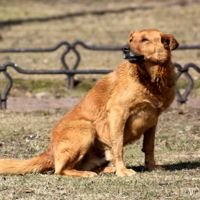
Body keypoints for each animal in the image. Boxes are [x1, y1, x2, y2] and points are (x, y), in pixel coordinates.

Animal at [0, 29, 178, 177]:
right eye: (131, 39)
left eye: (145, 40)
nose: (124, 48)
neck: (149, 79)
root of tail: (50, 150)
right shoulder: (118, 112)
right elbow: (118, 145)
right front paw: (122, 171)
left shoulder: (153, 119)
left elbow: (149, 146)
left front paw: (151, 167)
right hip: (86, 128)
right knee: (60, 170)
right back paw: (88, 173)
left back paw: (106, 169)